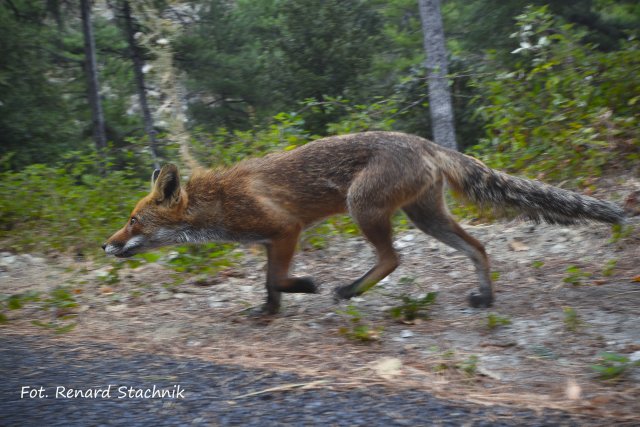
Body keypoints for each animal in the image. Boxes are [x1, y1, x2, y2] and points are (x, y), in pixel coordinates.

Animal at [103, 131, 625, 314]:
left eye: (132, 221)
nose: (106, 245)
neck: (218, 203)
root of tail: (425, 141)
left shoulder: (285, 229)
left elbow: (276, 279)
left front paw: (305, 288)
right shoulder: (270, 240)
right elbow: (268, 283)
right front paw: (269, 312)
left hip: (364, 207)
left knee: (393, 258)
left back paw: (350, 290)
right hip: (425, 216)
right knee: (478, 247)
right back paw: (486, 297)